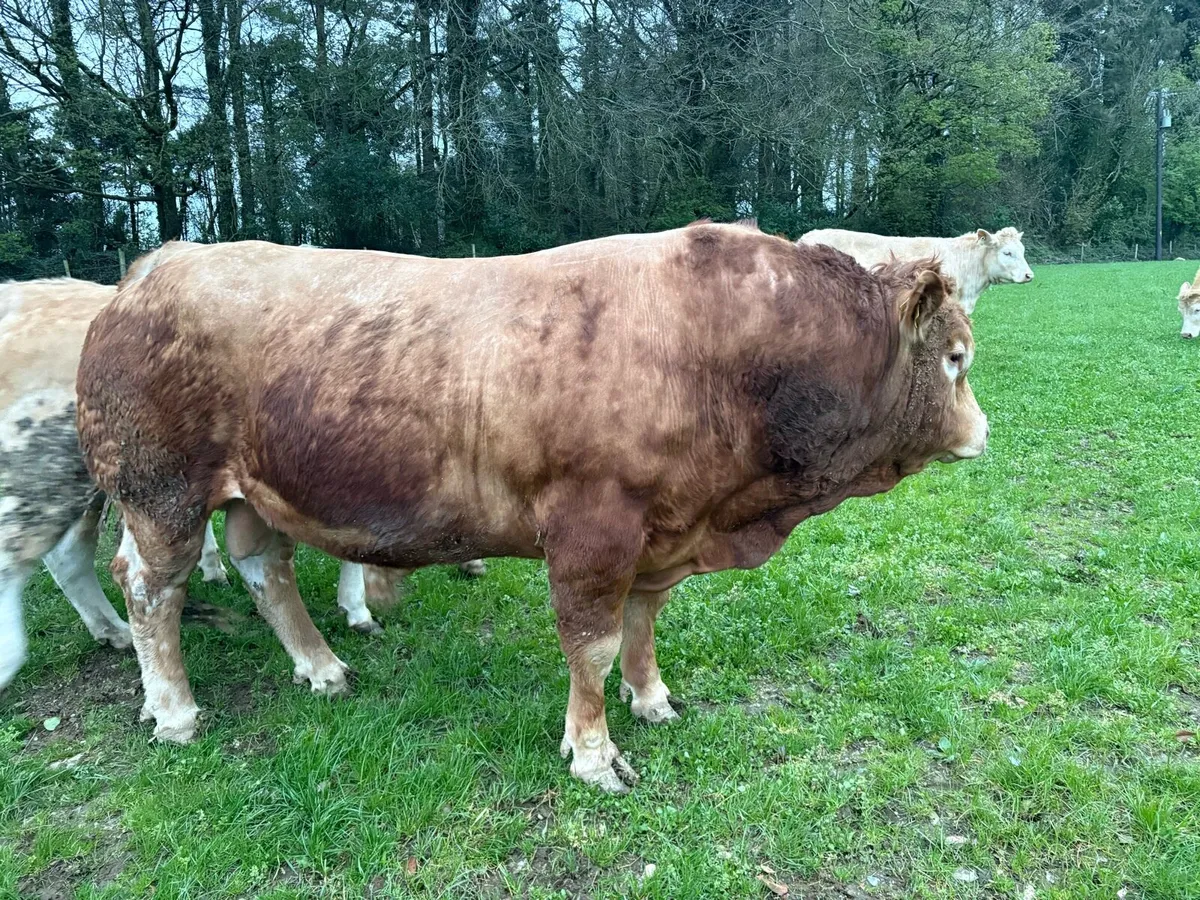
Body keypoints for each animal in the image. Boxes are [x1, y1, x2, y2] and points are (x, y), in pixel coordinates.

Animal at [76, 224, 988, 792]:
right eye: (955, 357)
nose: (983, 432)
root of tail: (156, 266)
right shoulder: (594, 530)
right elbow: (592, 644)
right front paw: (593, 753)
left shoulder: (663, 530)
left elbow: (643, 624)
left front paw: (651, 699)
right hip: (160, 490)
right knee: (150, 587)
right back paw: (175, 710)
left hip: (258, 489)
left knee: (266, 567)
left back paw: (321, 667)